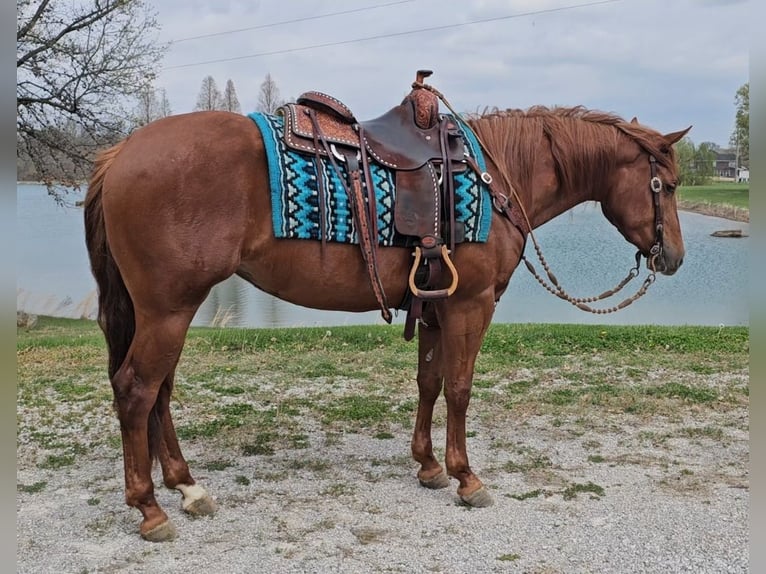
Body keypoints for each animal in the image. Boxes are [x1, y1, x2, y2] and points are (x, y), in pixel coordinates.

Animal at [82, 104, 688, 544]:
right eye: (668, 185)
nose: (675, 258)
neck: (497, 176)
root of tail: (122, 151)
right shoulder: (471, 304)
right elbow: (460, 387)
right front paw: (467, 477)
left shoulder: (437, 306)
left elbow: (429, 382)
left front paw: (429, 466)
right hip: (169, 310)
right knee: (137, 390)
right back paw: (150, 508)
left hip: (165, 311)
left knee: (159, 392)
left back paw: (187, 488)